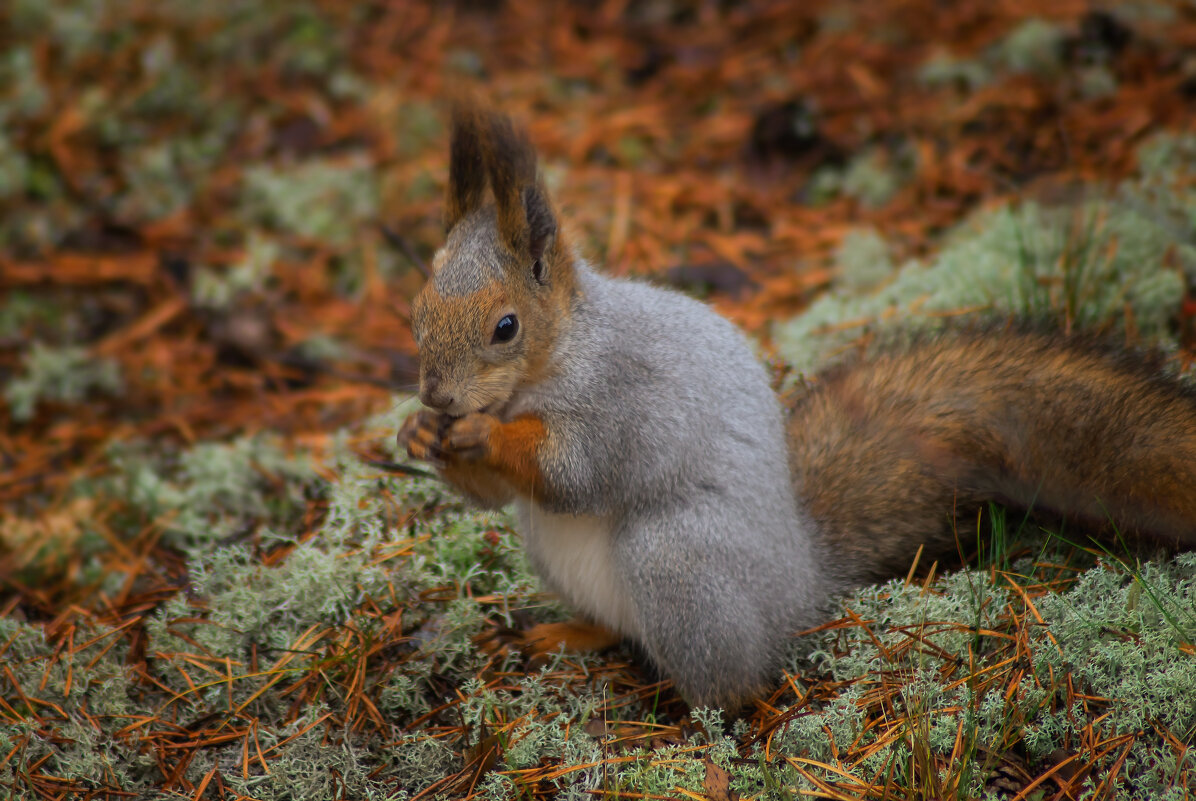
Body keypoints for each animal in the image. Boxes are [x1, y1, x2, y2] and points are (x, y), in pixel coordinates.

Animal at [397, 105, 1196, 707]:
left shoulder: (625, 397)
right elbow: (498, 493)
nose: (436, 393)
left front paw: (481, 436)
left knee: (735, 679)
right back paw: (571, 634)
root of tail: (799, 583)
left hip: (676, 560)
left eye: (506, 327)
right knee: (619, 628)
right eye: (417, 312)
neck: (551, 363)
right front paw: (419, 433)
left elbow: (576, 471)